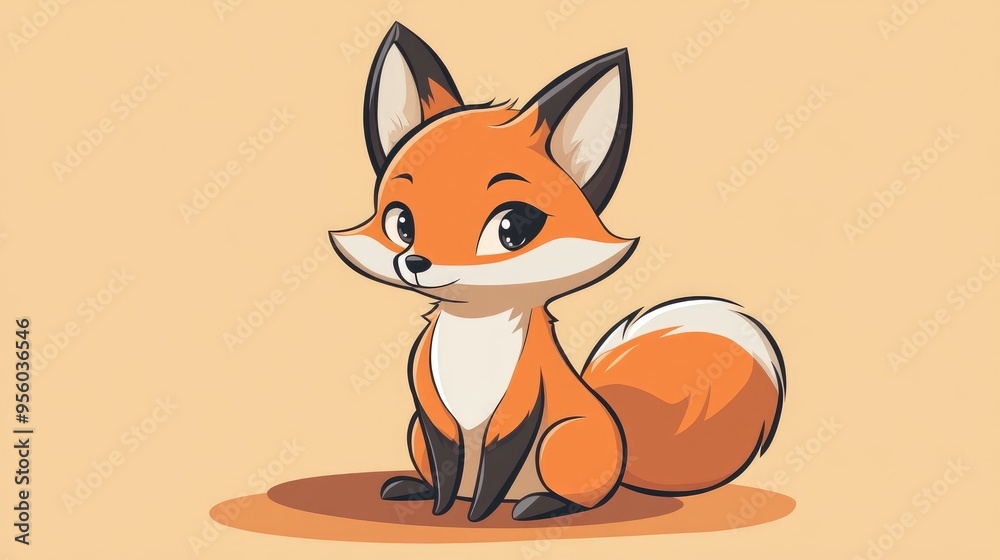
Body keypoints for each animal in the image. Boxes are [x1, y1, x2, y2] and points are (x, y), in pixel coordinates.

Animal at [329, 23, 786, 522]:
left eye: (512, 228)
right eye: (401, 223)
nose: (415, 263)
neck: (473, 338)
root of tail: (622, 448)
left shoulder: (524, 403)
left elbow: (495, 468)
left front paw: (477, 517)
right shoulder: (432, 411)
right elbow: (447, 468)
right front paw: (441, 509)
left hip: (560, 439)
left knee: (581, 497)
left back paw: (539, 504)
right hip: (415, 429)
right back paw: (416, 488)